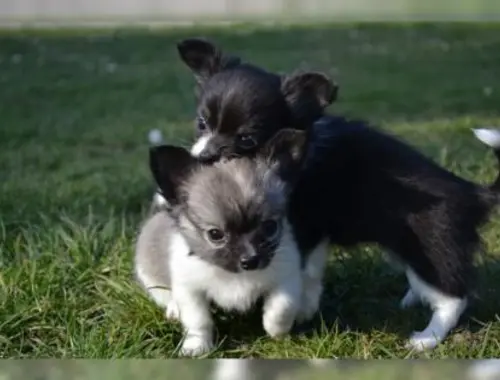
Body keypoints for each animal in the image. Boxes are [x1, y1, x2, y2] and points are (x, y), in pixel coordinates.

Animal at [135, 128, 310, 356]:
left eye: (270, 227)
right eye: (215, 234)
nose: (250, 260)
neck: (234, 277)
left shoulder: (286, 278)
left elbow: (282, 307)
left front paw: (277, 332)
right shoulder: (190, 291)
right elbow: (198, 322)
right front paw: (197, 347)